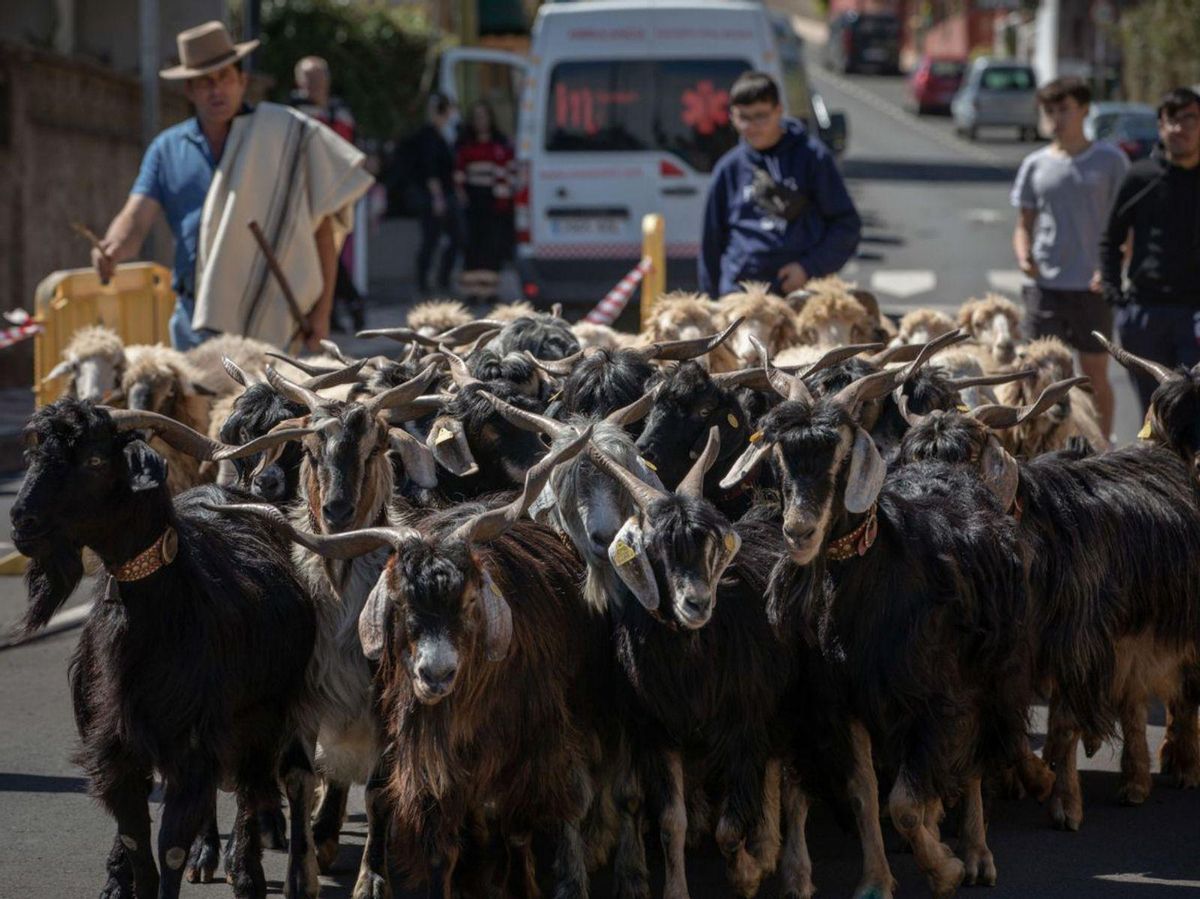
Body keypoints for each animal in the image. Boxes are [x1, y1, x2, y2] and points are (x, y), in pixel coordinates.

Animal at [10, 400, 319, 897]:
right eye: (35, 455)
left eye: (95, 460)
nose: (22, 522)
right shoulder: (114, 747)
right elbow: (136, 841)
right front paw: (122, 878)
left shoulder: (194, 743)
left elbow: (170, 845)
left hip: (261, 719)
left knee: (252, 791)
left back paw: (245, 870)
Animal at [715, 362, 1036, 892]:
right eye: (780, 456)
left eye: (843, 454)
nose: (798, 531)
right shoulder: (842, 702)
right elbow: (866, 792)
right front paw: (876, 880)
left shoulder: (935, 694)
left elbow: (904, 802)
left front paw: (946, 868)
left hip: (987, 670)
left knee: (972, 762)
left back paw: (975, 853)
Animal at [897, 374, 1200, 825]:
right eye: (911, 455)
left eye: (966, 457)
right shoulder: (1008, 659)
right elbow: (1013, 726)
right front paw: (1033, 779)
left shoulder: (1077, 645)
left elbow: (1064, 724)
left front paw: (1064, 805)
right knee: (1133, 701)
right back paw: (1135, 782)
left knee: (1182, 693)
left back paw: (1183, 766)